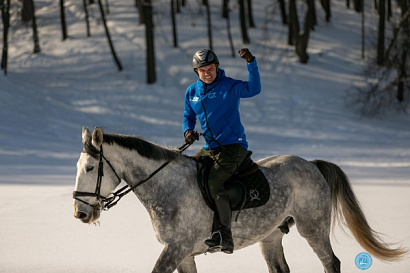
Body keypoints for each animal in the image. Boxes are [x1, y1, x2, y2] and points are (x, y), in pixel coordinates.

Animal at [72, 127, 406, 272]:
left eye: (89, 168)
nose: (80, 214)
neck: (166, 188)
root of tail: (311, 164)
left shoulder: (175, 250)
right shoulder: (184, 254)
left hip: (313, 227)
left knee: (331, 262)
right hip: (270, 236)